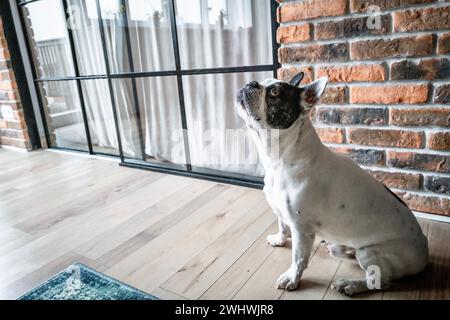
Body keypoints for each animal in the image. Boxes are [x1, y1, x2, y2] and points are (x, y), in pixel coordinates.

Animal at [236, 74, 428, 296]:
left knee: (380, 281)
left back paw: (350, 285)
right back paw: (343, 249)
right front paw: (279, 239)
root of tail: (424, 250)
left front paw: (292, 278)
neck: (279, 159)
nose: (251, 83)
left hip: (370, 252)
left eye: (274, 92)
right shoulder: (283, 212)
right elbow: (282, 225)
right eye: (263, 81)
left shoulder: (302, 229)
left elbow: (298, 257)